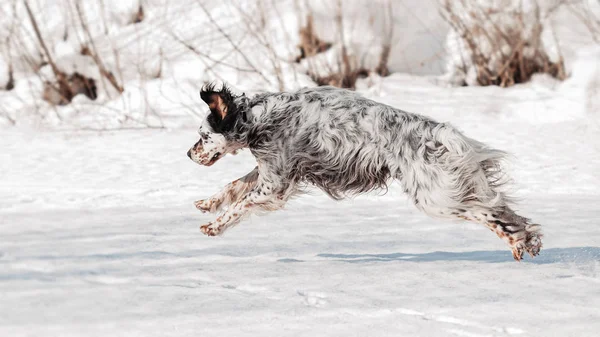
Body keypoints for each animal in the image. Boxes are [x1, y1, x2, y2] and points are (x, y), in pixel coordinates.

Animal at [189, 83, 544, 260]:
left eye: (203, 135)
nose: (189, 154)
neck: (260, 117)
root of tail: (441, 134)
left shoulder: (275, 184)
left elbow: (239, 205)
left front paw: (213, 226)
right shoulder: (271, 171)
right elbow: (233, 186)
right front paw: (207, 203)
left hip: (437, 198)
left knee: (491, 214)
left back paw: (517, 243)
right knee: (505, 210)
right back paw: (528, 241)